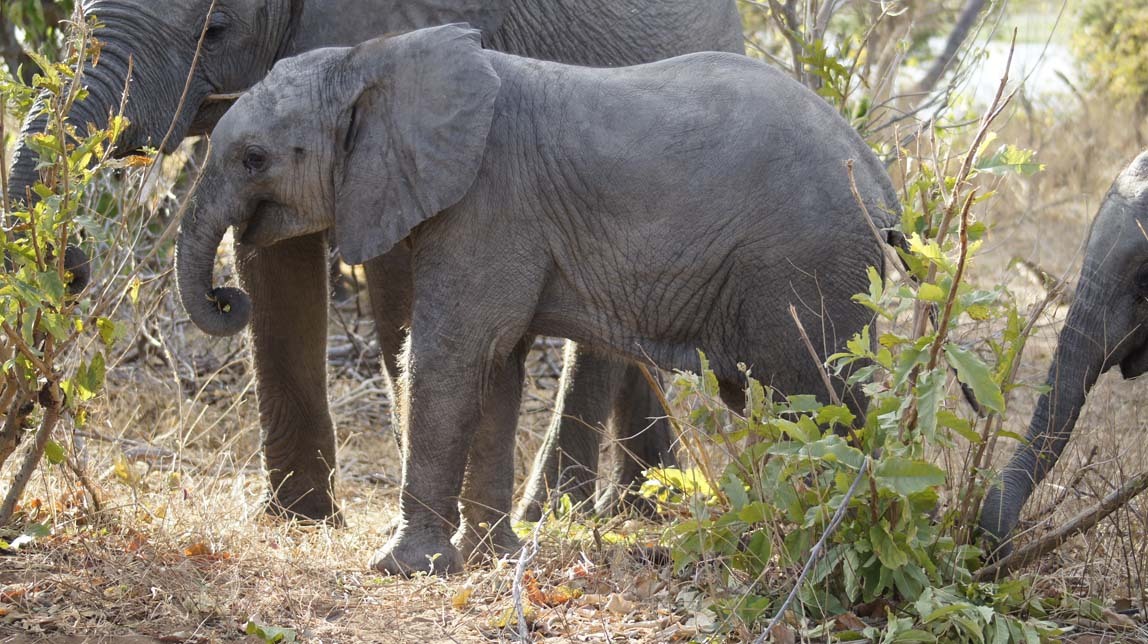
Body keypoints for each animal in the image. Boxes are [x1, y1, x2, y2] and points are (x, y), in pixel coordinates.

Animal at [6, 1, 743, 532]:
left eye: (213, 32)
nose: (70, 264)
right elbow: (275, 267)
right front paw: (301, 521)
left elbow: (405, 287)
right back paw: (646, 506)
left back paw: (555, 514)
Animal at [176, 23, 895, 571]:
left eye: (254, 159)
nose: (226, 297)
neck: (376, 62)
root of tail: (876, 171)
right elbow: (496, 368)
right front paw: (492, 557)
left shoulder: (488, 205)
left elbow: (449, 357)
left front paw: (402, 568)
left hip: (806, 269)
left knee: (819, 398)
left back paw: (828, 535)